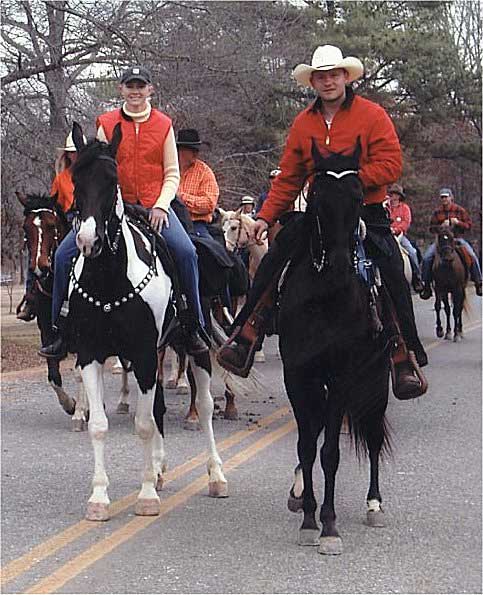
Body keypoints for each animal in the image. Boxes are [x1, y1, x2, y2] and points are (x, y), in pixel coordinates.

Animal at [14, 193, 89, 430]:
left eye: (51, 225)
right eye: (26, 227)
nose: (39, 267)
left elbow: (81, 373)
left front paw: (81, 412)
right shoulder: (46, 332)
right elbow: (53, 375)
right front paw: (71, 405)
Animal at [69, 122, 227, 520]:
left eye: (112, 179)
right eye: (75, 178)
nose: (88, 240)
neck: (110, 281)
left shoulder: (140, 353)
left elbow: (143, 425)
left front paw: (146, 497)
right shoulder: (92, 354)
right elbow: (100, 425)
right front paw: (99, 497)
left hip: (193, 348)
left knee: (204, 407)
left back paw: (216, 475)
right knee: (157, 408)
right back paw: (157, 468)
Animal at [280, 143, 394, 556]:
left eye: (359, 196)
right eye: (316, 195)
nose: (342, 264)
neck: (325, 299)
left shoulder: (342, 376)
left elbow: (330, 452)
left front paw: (328, 526)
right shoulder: (298, 375)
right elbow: (306, 446)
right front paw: (308, 519)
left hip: (377, 378)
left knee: (373, 434)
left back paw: (374, 504)